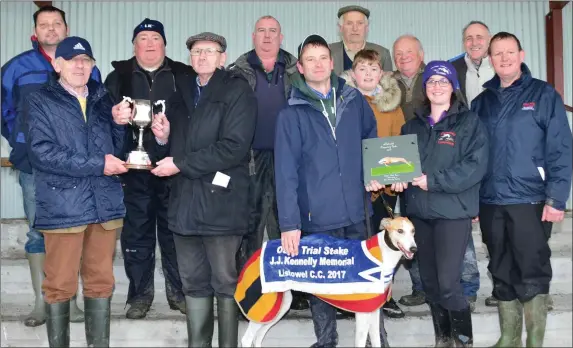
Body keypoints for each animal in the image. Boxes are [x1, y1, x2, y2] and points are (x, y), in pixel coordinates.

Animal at [235, 216, 418, 346]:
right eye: (400, 230)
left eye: (413, 231)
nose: (414, 249)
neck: (380, 254)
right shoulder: (362, 314)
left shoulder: (373, 312)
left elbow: (376, 341)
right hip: (263, 307)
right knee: (246, 339)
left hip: (278, 307)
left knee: (257, 338)